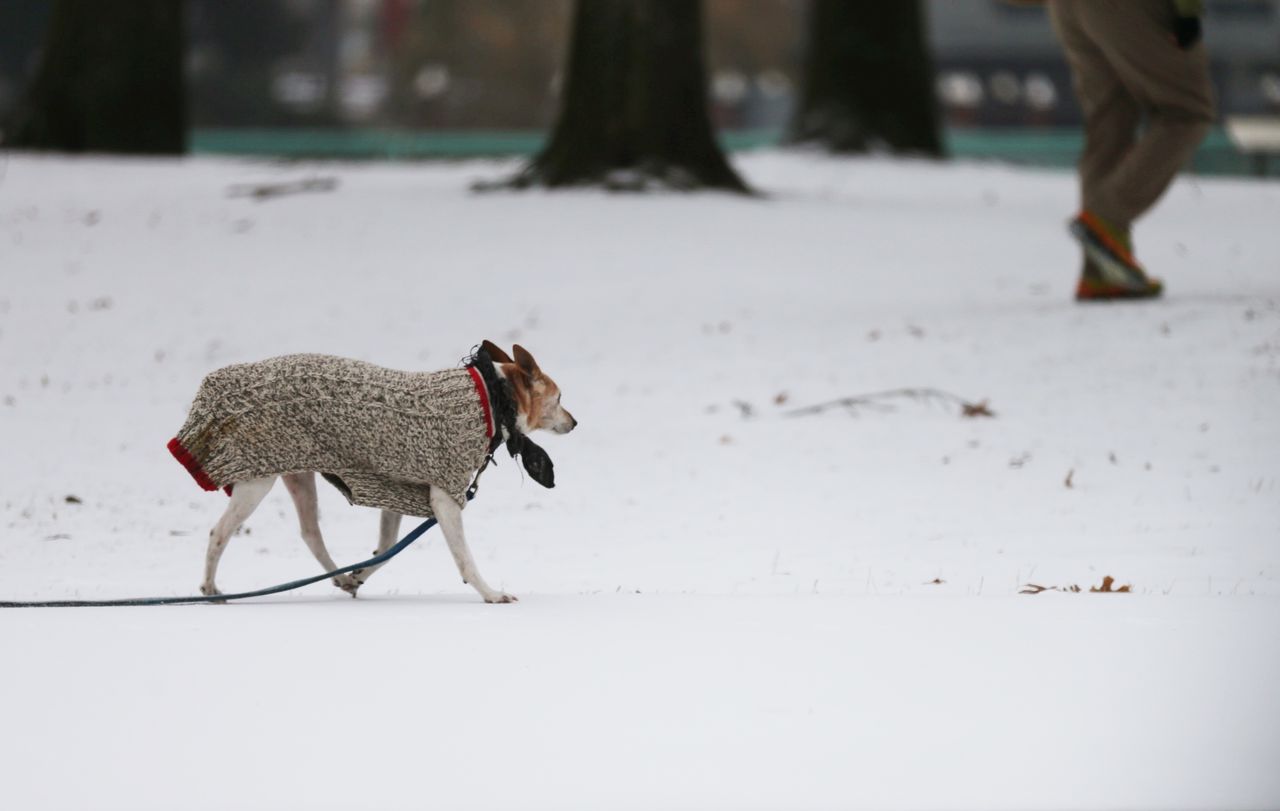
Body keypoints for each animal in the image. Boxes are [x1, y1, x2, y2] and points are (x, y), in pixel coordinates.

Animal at [167, 340, 578, 601]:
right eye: (559, 398)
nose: (574, 422)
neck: (491, 397)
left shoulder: (393, 492)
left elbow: (385, 550)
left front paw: (361, 575)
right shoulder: (445, 498)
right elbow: (464, 558)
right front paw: (491, 594)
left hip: (298, 470)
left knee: (311, 534)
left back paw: (340, 575)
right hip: (256, 478)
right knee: (218, 534)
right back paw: (210, 589)